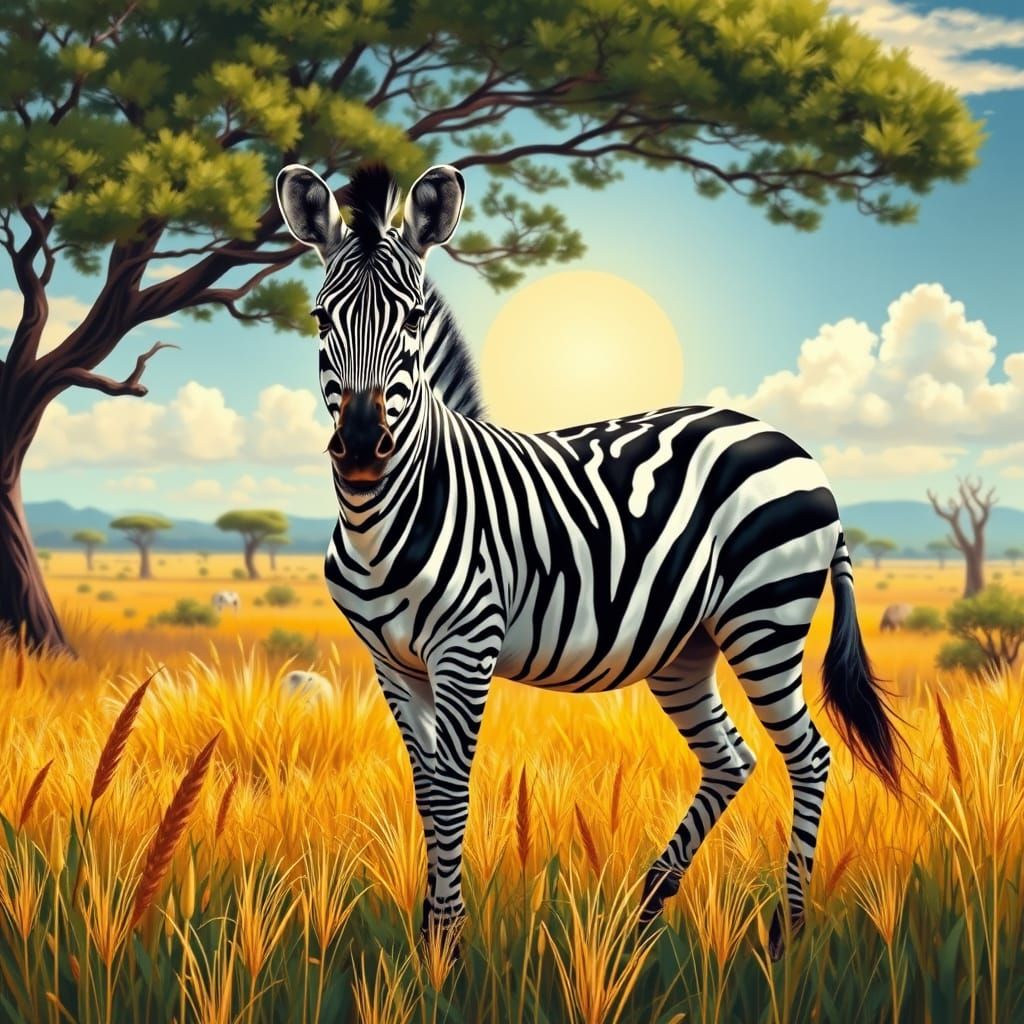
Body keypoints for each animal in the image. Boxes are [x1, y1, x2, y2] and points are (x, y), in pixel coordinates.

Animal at [275, 160, 903, 961]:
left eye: (412, 320)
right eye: (320, 319)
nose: (359, 445)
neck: (382, 519)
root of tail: (797, 446)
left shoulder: (467, 647)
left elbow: (452, 791)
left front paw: (446, 947)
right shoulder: (390, 661)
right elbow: (426, 790)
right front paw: (428, 939)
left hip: (765, 620)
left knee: (810, 756)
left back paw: (784, 935)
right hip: (685, 647)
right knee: (731, 757)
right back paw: (641, 914)